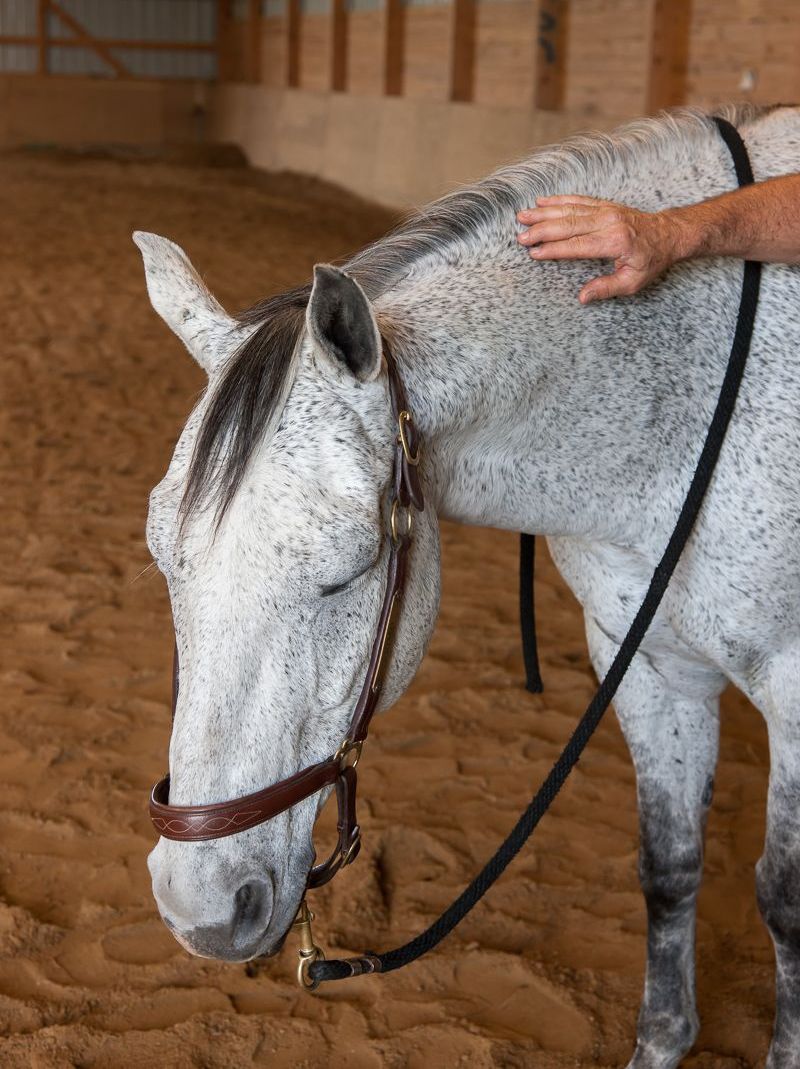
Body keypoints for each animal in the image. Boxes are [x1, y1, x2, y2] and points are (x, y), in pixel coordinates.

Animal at [136, 103, 800, 1067]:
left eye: (347, 574)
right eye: (166, 566)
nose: (203, 909)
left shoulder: (796, 685)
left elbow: (785, 900)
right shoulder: (650, 667)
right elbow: (670, 865)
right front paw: (663, 1041)